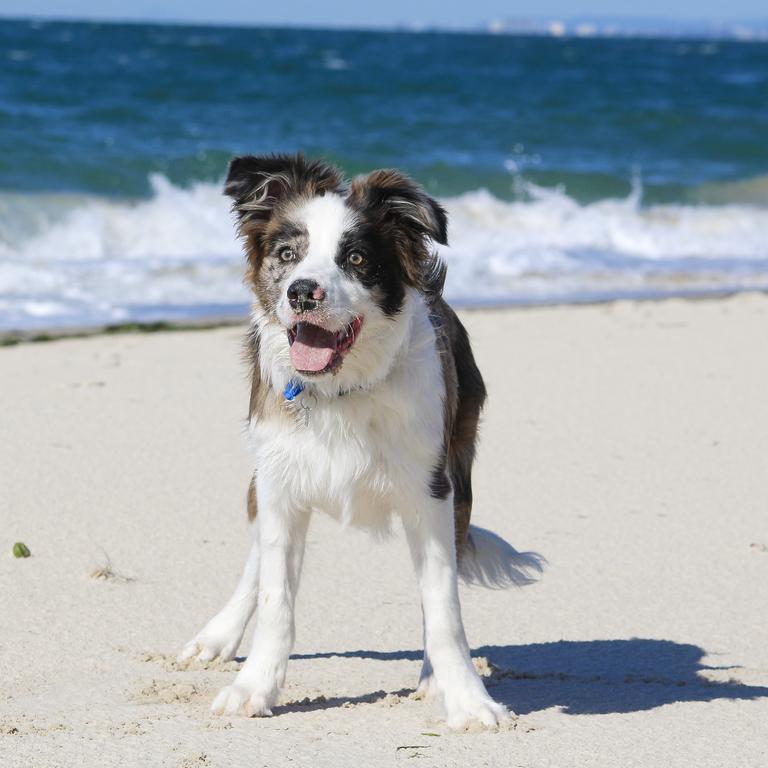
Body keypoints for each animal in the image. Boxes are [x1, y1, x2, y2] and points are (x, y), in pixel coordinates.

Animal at [178, 154, 540, 728]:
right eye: (287, 254)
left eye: (356, 258)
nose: (302, 291)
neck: (340, 391)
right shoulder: (280, 483)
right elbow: (276, 598)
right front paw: (254, 688)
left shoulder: (431, 491)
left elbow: (443, 607)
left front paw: (467, 699)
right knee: (257, 560)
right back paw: (216, 636)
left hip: (459, 470)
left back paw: (433, 678)